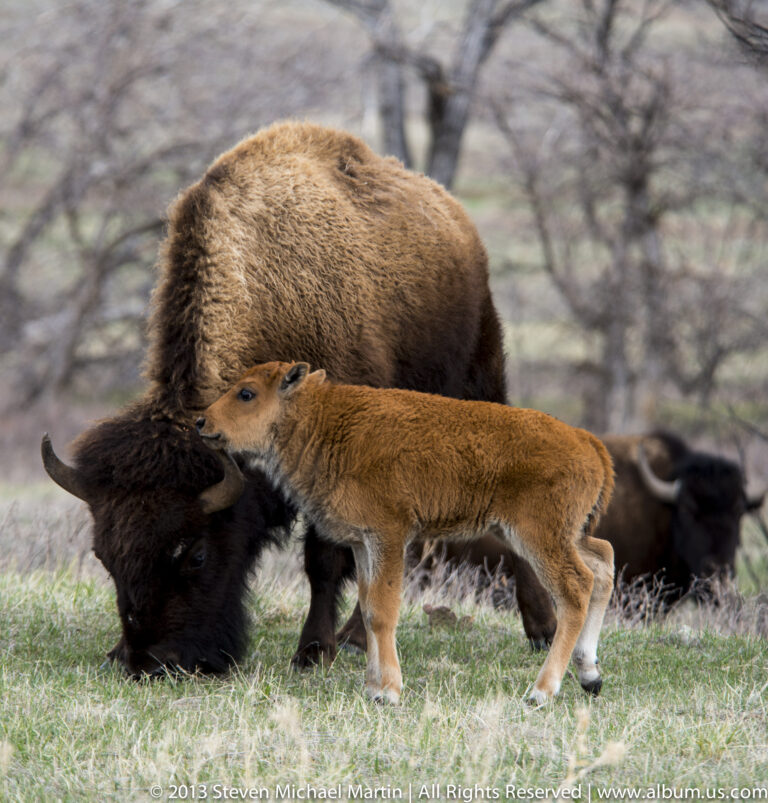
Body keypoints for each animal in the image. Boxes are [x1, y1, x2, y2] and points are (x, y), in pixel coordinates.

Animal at [41, 120, 556, 678]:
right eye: (104, 556)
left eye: (196, 554)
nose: (153, 663)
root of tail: (456, 221)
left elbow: (324, 557)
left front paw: (312, 651)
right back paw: (359, 636)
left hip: (480, 380)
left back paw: (541, 629)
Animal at [198, 360, 615, 705]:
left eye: (247, 393)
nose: (202, 423)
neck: (322, 420)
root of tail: (585, 440)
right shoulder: (363, 543)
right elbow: (368, 609)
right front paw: (372, 686)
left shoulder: (388, 537)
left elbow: (383, 611)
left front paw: (389, 692)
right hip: (564, 535)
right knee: (603, 562)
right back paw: (590, 676)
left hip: (539, 538)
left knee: (576, 587)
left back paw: (541, 692)